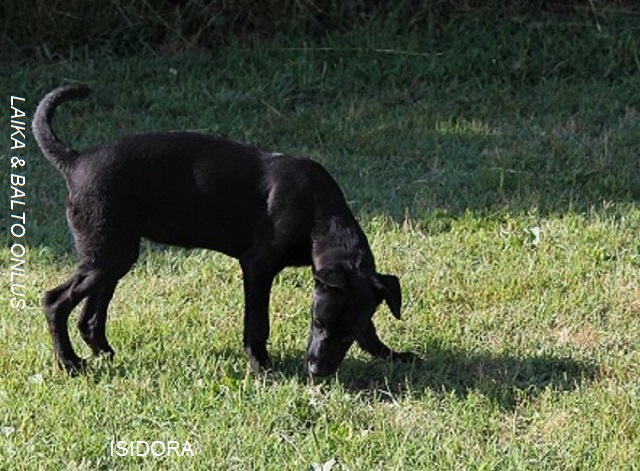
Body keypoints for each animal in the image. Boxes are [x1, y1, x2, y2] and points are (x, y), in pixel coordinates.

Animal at [31, 86, 416, 378]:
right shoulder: (257, 266)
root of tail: (75, 160)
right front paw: (261, 366)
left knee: (89, 317)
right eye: (316, 321)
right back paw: (69, 363)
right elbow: (257, 323)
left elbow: (369, 325)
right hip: (108, 255)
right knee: (54, 302)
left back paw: (103, 353)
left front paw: (390, 354)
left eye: (347, 335)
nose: (316, 371)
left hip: (111, 255)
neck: (318, 214)